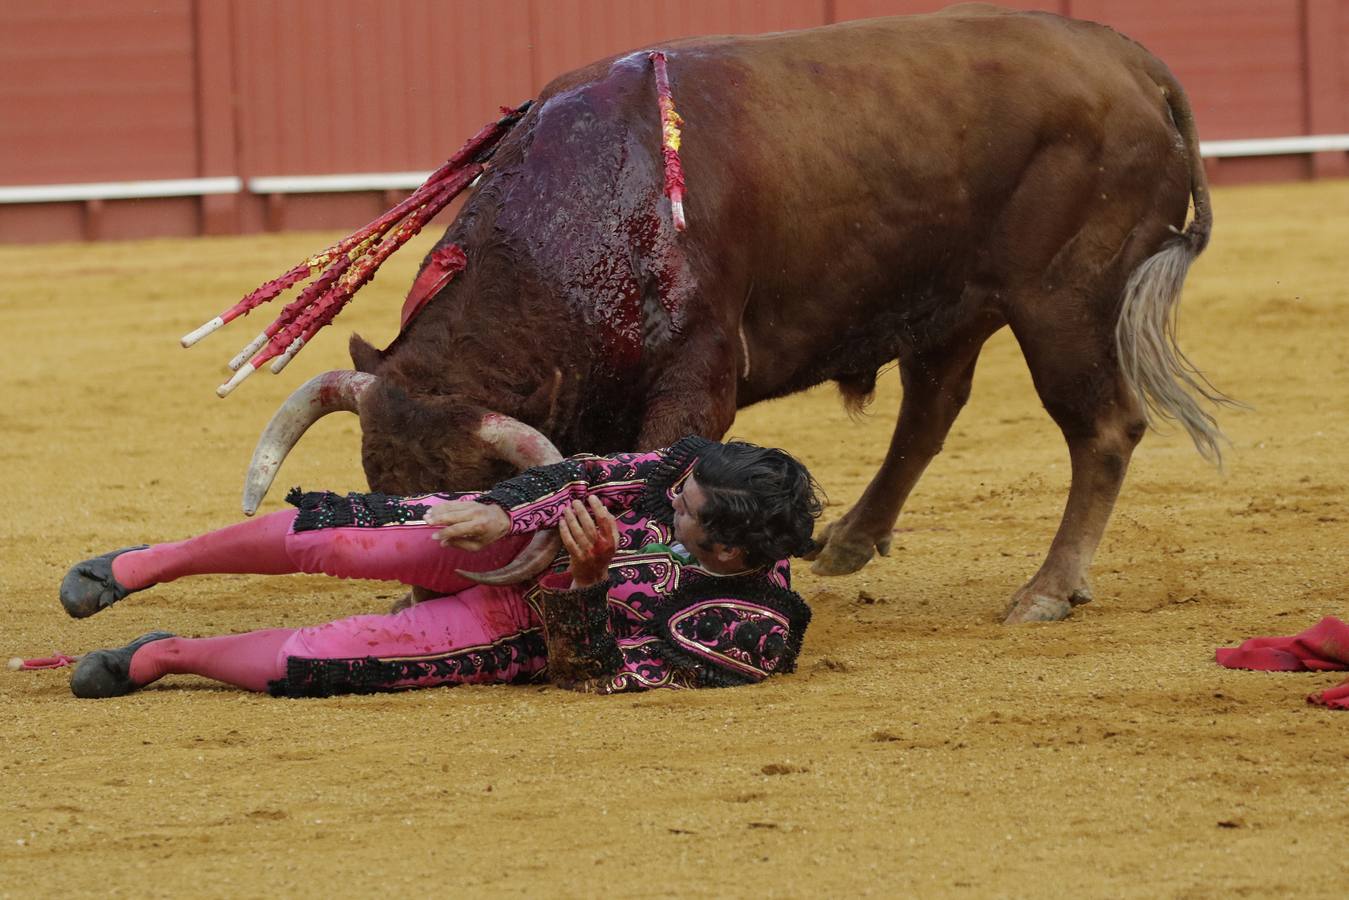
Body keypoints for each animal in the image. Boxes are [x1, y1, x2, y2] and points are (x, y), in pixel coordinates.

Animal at [234, 5, 1235, 626]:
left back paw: (1045, 590)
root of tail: (1127, 58)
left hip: (1065, 300)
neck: (601, 208)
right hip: (954, 302)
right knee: (931, 407)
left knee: (1100, 428)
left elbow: (656, 467)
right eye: (378, 484)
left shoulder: (697, 378)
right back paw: (851, 542)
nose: (424, 597)